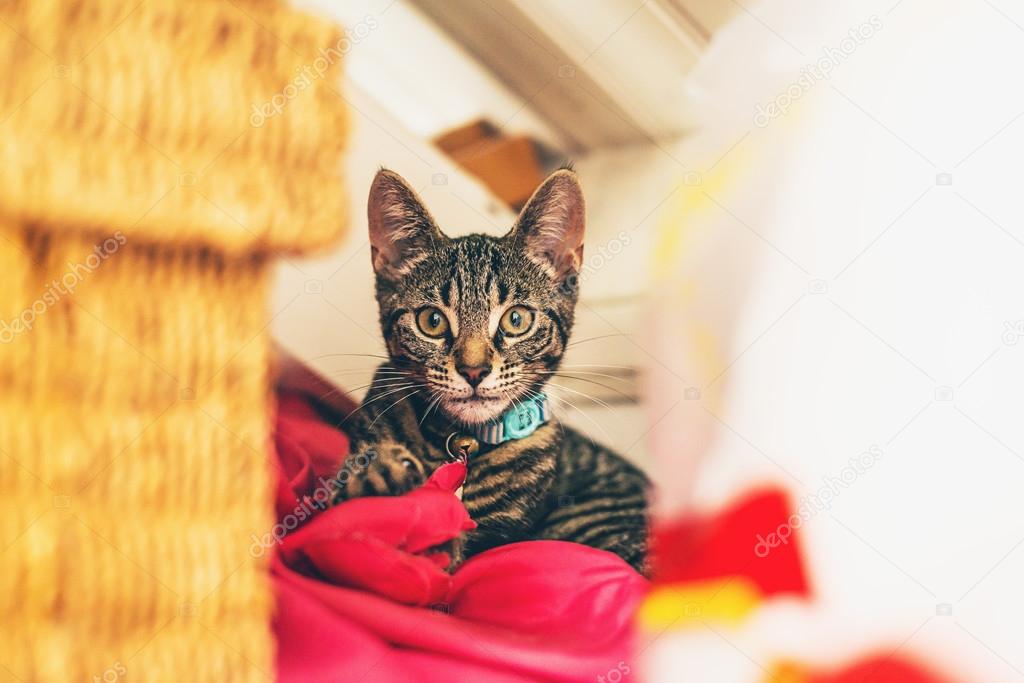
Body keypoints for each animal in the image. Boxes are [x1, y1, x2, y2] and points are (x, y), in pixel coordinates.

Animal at [339, 167, 651, 573]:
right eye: (432, 321)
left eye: (516, 319)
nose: (474, 371)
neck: (458, 441)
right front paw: (381, 475)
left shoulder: (484, 541)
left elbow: (447, 546)